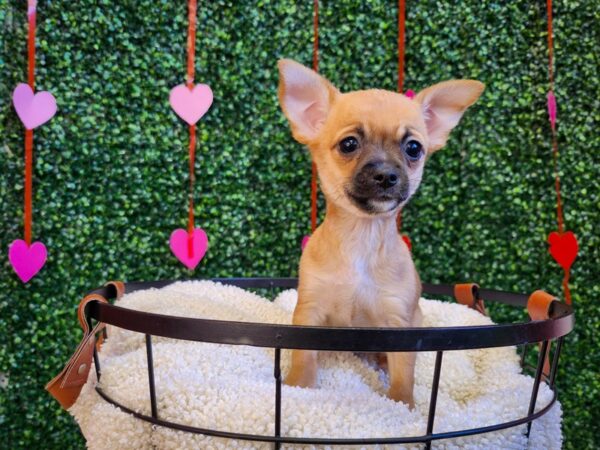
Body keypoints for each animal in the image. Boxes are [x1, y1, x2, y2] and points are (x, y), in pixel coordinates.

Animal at [276, 58, 482, 406]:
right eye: (349, 144)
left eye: (413, 148)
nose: (386, 174)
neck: (363, 236)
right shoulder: (309, 312)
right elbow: (303, 357)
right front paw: (297, 386)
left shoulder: (399, 324)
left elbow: (403, 373)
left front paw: (401, 405)